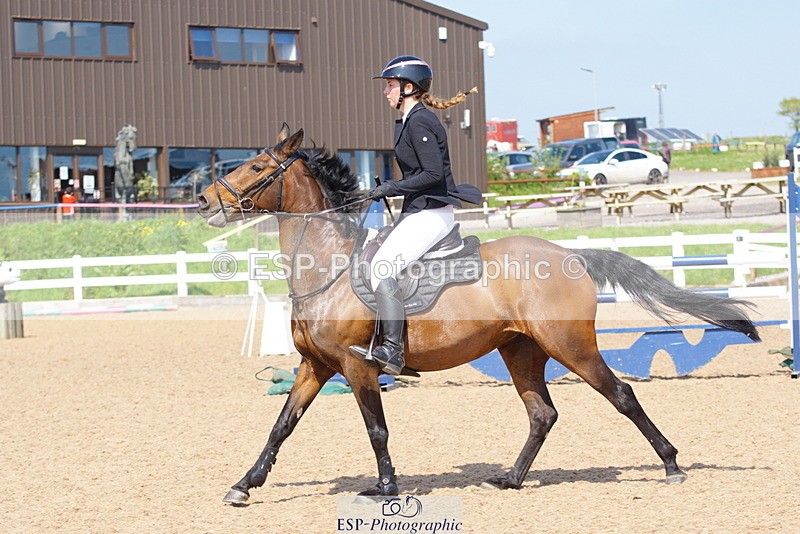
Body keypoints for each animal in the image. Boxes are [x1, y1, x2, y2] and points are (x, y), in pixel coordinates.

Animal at [197, 124, 760, 504]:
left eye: (255, 167)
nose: (204, 201)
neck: (328, 266)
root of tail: (572, 255)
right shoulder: (315, 365)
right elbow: (281, 425)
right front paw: (244, 484)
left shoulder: (358, 367)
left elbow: (376, 428)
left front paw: (386, 487)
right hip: (521, 350)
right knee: (542, 413)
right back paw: (511, 478)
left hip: (569, 346)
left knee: (620, 394)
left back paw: (670, 465)